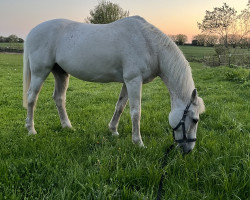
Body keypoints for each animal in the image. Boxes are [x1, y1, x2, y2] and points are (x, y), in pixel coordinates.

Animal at [22, 16, 204, 153]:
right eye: (195, 120)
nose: (189, 149)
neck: (149, 44)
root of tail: (32, 31)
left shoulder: (127, 82)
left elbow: (120, 106)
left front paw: (113, 130)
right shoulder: (134, 80)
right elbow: (135, 112)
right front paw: (138, 142)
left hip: (60, 73)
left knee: (59, 98)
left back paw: (67, 126)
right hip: (40, 72)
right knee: (32, 98)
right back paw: (31, 130)